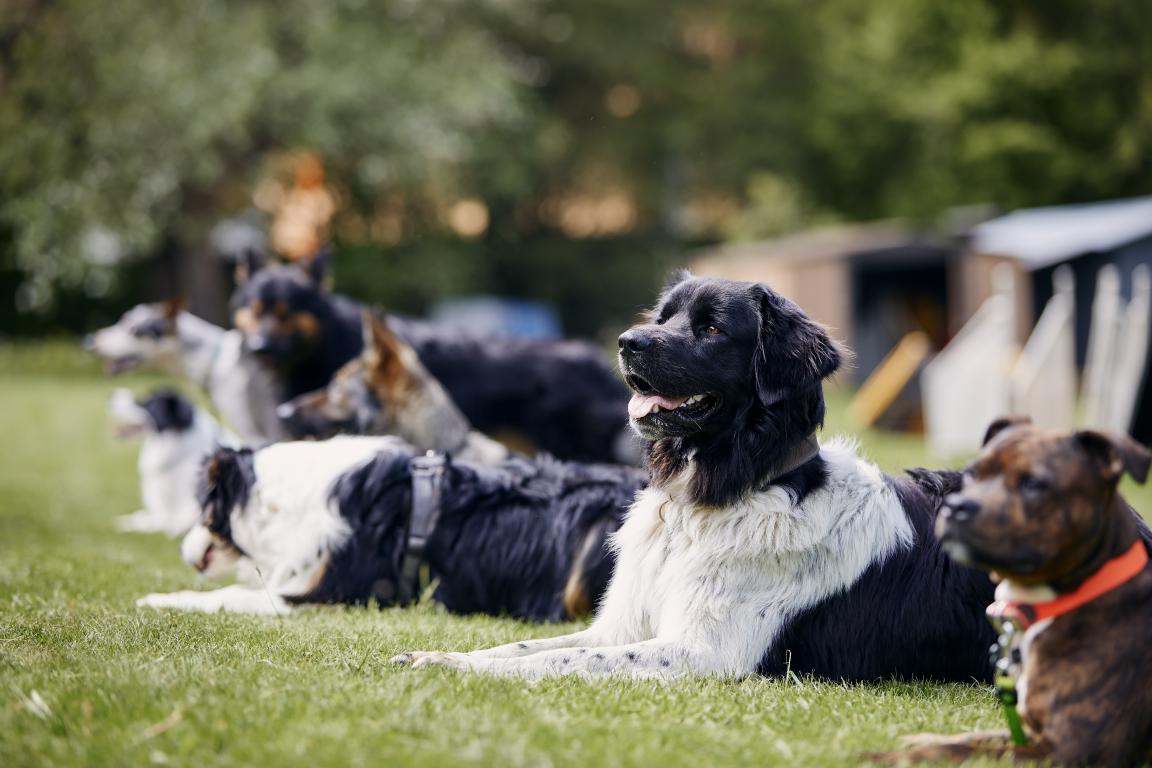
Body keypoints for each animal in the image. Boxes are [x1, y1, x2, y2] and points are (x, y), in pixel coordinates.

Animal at [393, 272, 990, 681]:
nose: (627, 342)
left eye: (711, 328)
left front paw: (462, 670)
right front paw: (441, 655)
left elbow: (569, 658)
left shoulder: (706, 654)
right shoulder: (621, 625)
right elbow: (528, 646)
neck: (704, 503)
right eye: (662, 319)